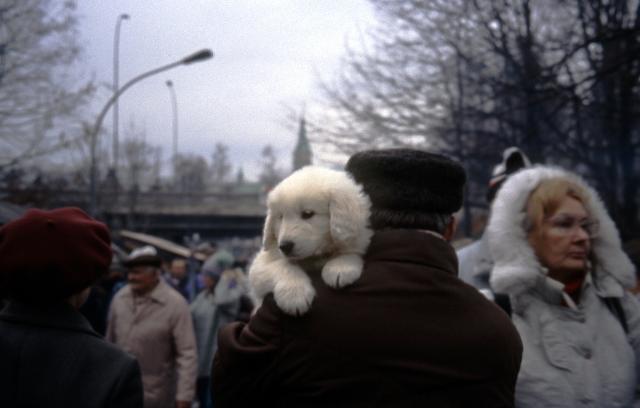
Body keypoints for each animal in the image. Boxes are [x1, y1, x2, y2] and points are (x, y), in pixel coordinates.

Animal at [249, 166, 372, 316]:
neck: (313, 257)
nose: (284, 246)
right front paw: (294, 295)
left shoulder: (357, 238)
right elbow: (282, 265)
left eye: (307, 214)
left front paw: (341, 267)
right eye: (280, 217)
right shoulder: (259, 266)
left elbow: (349, 250)